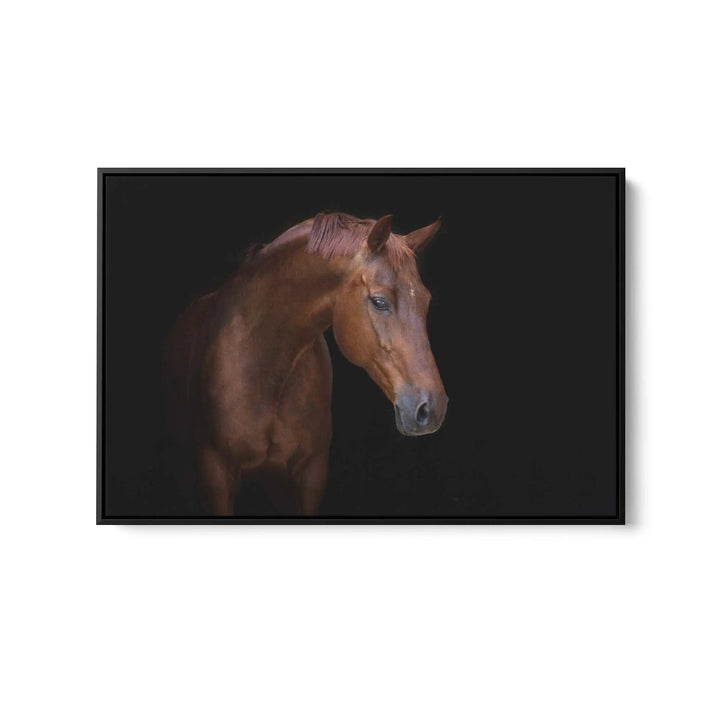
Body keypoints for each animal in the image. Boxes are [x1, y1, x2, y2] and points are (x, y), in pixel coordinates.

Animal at [163, 211, 448, 516]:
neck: (264, 365)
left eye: (426, 301)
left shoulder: (310, 474)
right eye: (379, 301)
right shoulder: (215, 474)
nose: (432, 409)